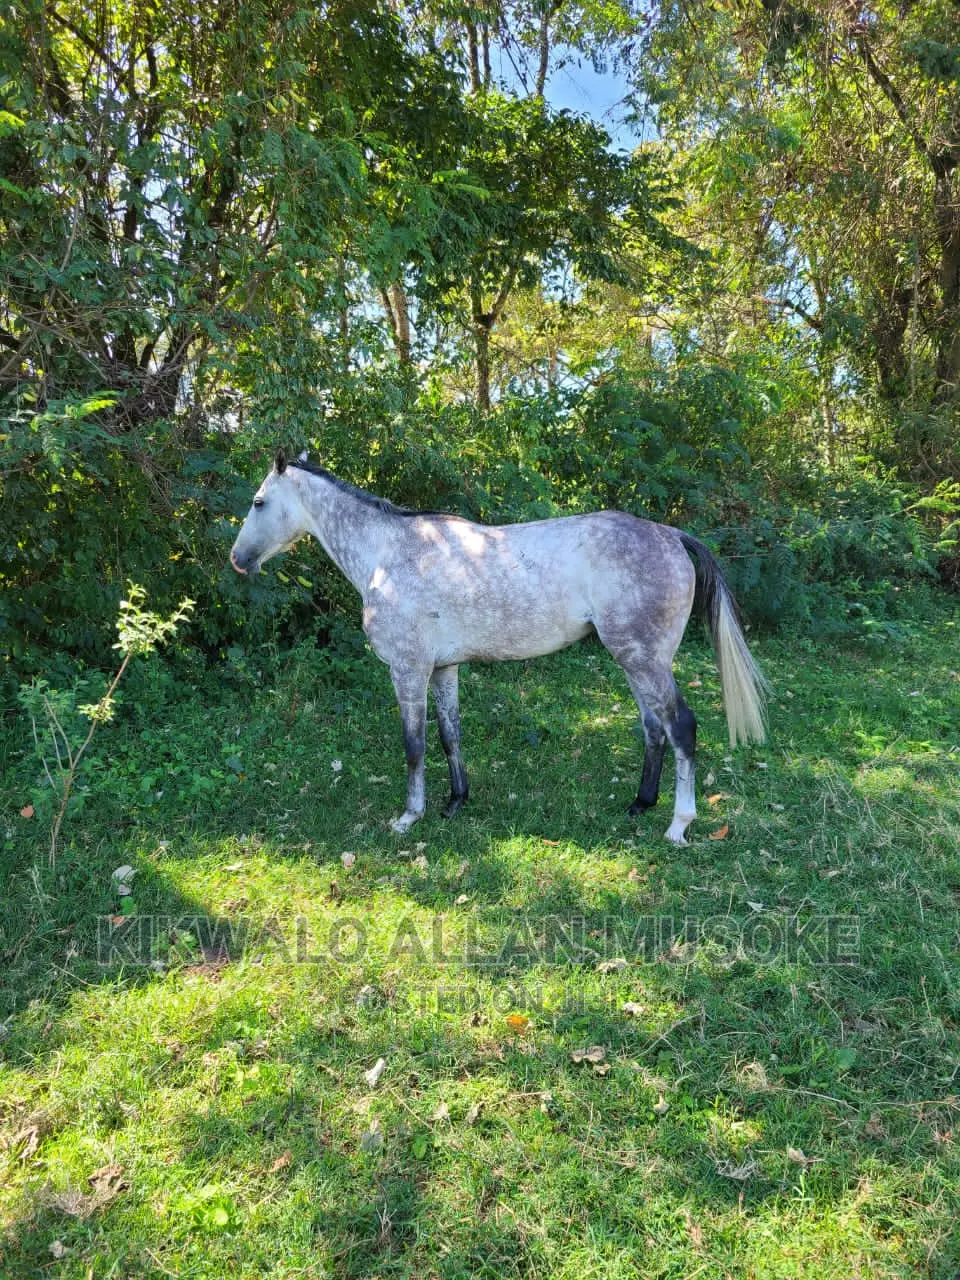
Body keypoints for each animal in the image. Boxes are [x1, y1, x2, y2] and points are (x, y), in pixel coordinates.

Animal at [230, 450, 767, 844]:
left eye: (258, 502)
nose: (237, 559)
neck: (388, 553)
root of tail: (670, 534)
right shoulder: (443, 669)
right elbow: (449, 735)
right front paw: (455, 802)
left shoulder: (408, 669)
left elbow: (413, 744)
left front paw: (409, 817)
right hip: (635, 661)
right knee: (654, 728)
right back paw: (640, 803)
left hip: (644, 659)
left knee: (681, 727)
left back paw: (678, 825)